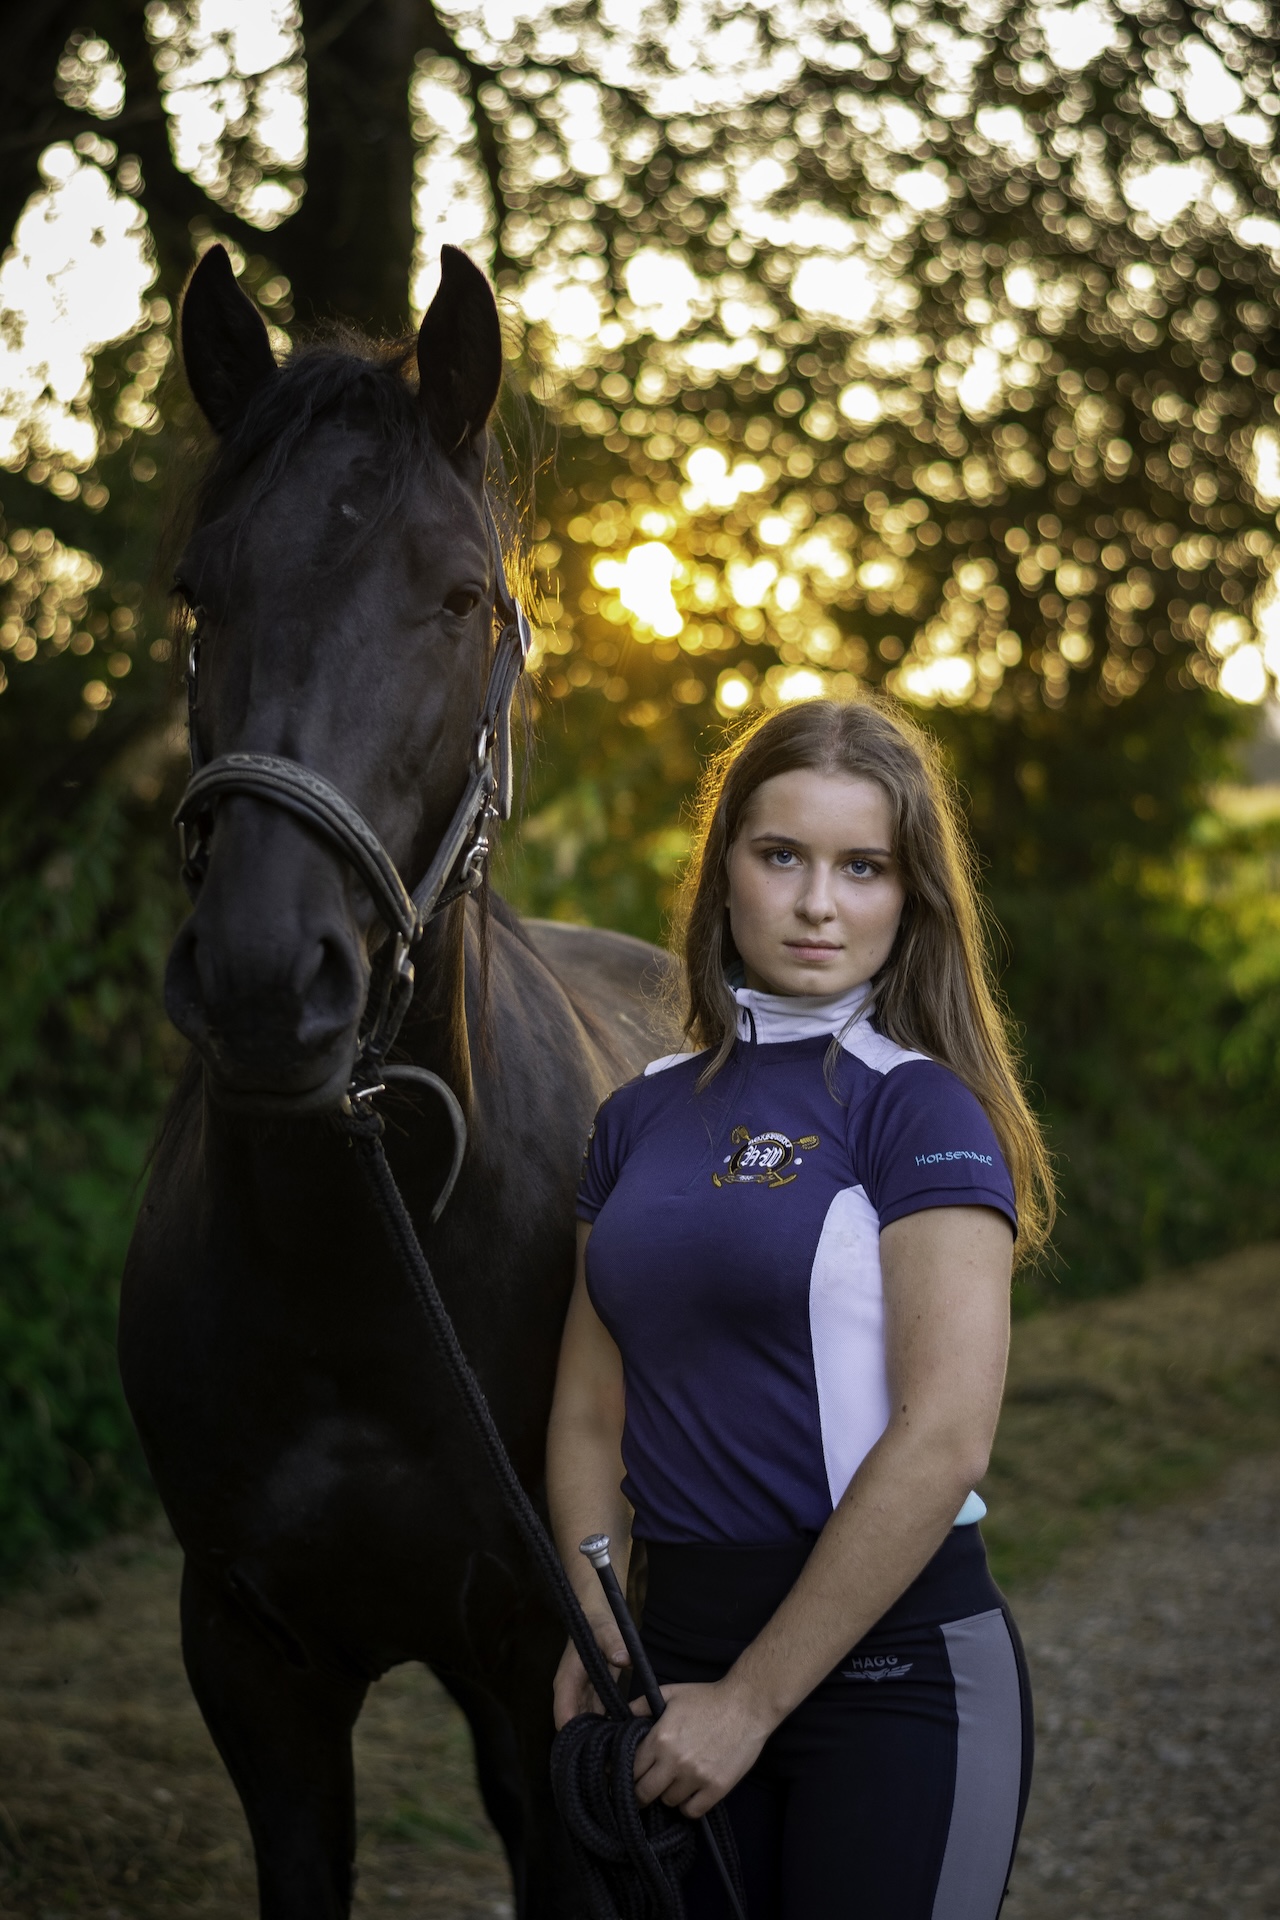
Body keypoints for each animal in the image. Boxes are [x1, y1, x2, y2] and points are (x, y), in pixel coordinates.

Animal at [119, 242, 669, 1920]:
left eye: (460, 597)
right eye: (199, 592)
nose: (262, 980)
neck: (364, 1265)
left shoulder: (552, 1657)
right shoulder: (253, 1661)